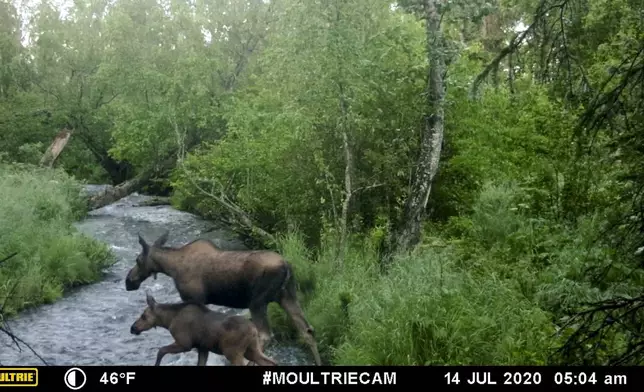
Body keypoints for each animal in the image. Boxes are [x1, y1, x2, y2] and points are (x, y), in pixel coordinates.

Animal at [129, 292, 276, 366]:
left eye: (143, 316)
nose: (133, 328)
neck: (168, 320)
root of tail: (254, 330)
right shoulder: (203, 347)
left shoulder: (185, 344)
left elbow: (161, 351)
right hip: (251, 350)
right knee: (271, 362)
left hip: (233, 352)